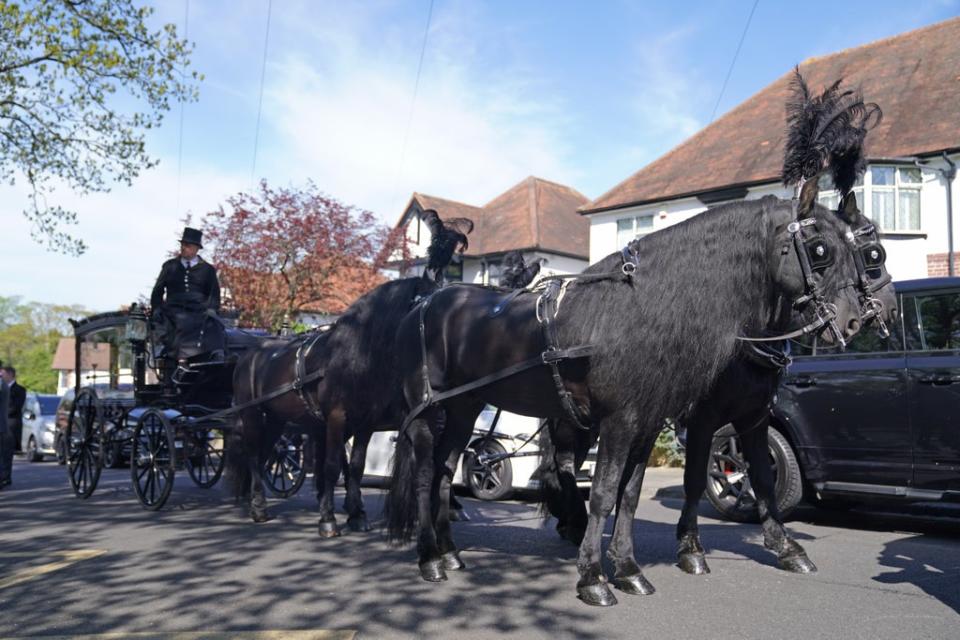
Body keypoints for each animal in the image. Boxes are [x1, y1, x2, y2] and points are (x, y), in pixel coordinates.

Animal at [390, 75, 876, 604]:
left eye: (864, 252)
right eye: (821, 249)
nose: (855, 320)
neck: (646, 310)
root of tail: (427, 301)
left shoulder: (651, 422)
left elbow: (631, 494)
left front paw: (627, 569)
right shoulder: (626, 420)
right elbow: (605, 494)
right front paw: (594, 577)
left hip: (466, 408)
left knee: (445, 470)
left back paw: (450, 552)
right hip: (431, 414)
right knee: (426, 472)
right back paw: (430, 558)